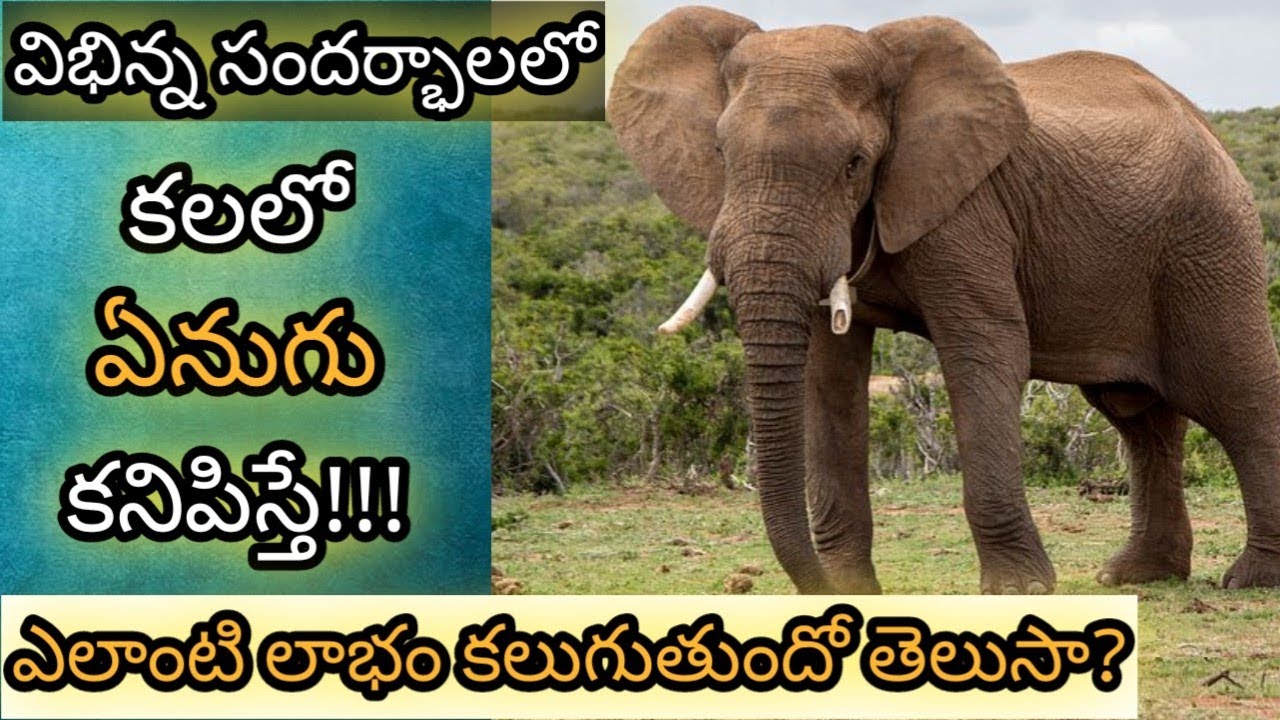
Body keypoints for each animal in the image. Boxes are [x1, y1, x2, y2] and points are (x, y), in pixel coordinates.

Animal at [606, 6, 1280, 594]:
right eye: (721, 154)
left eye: (855, 164)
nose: (817, 586)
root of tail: (1204, 124)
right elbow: (829, 374)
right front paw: (850, 589)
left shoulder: (967, 209)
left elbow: (984, 351)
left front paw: (1018, 590)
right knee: (1139, 415)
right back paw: (1138, 576)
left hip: (1208, 241)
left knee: (1236, 395)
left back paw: (1252, 579)